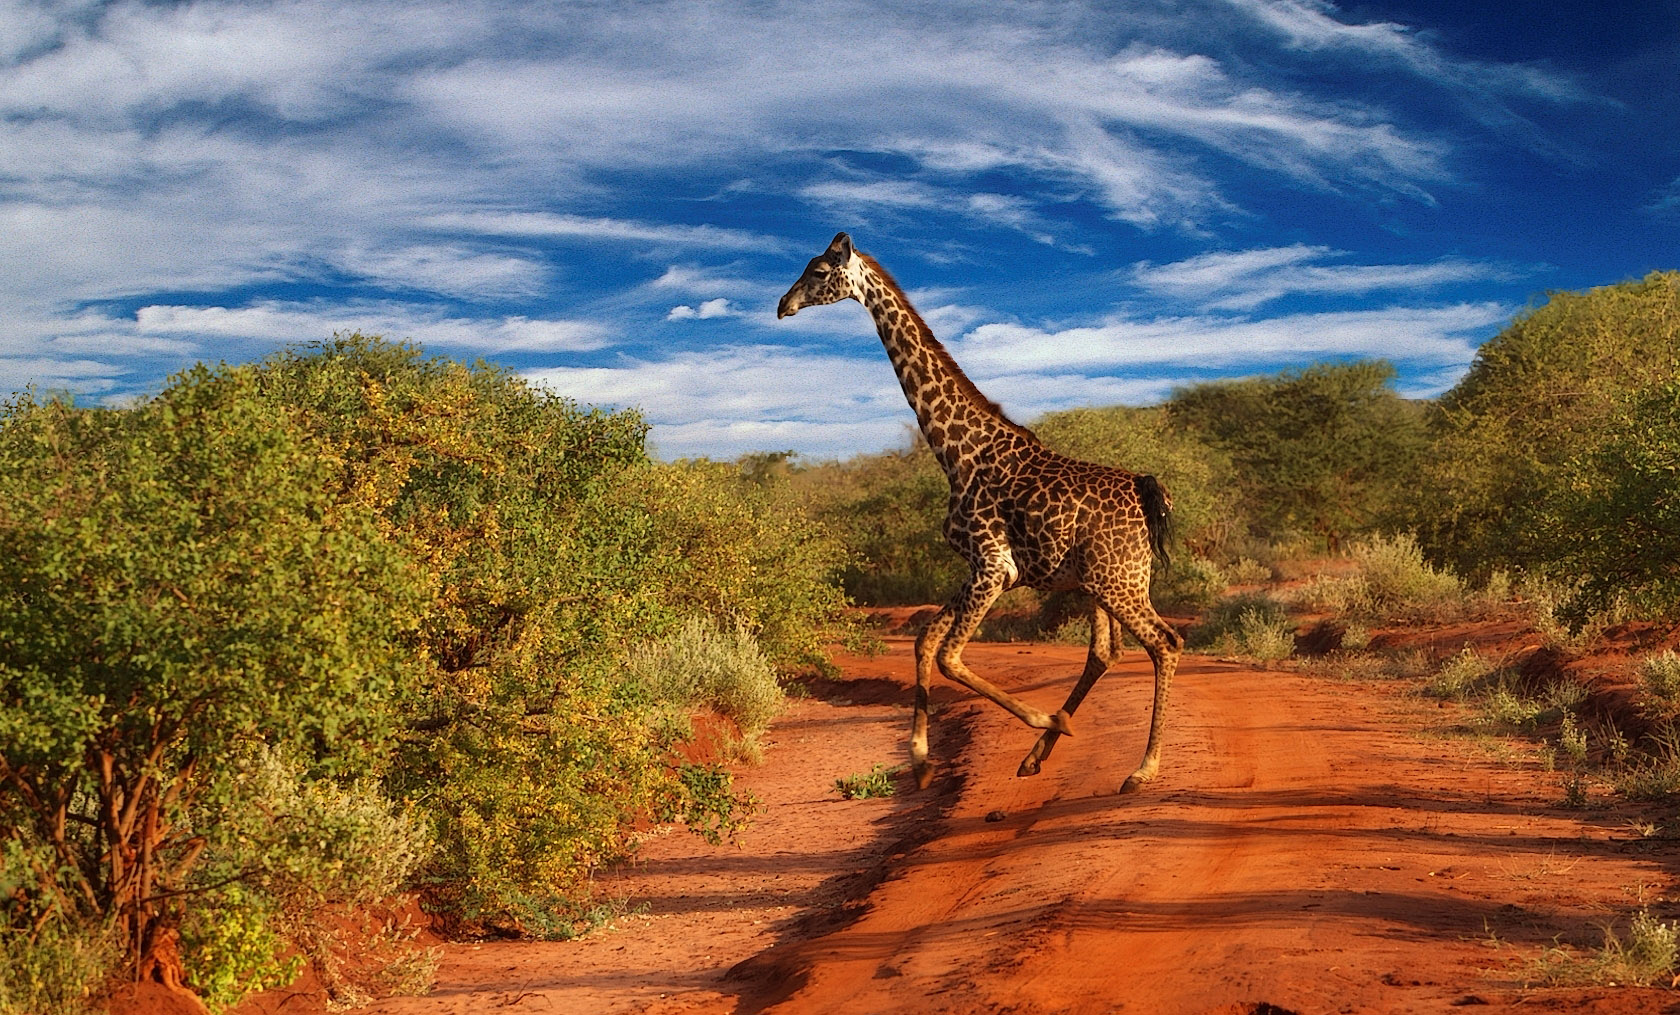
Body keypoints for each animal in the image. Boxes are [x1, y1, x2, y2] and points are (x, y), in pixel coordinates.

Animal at [772, 233, 1182, 796]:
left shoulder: (993, 567)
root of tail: (1147, 493)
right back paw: (1035, 757)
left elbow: (949, 655)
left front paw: (1048, 719)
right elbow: (925, 640)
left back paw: (1141, 770)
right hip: (1100, 582)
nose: (781, 307)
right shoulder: (980, 569)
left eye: (816, 272)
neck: (957, 452)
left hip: (1120, 580)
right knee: (1105, 652)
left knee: (1166, 643)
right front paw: (921, 763)